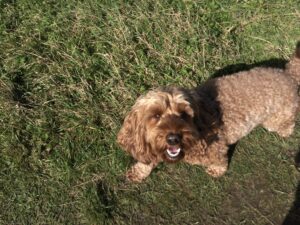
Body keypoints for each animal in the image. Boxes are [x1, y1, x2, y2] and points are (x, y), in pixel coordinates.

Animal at [116, 42, 300, 183]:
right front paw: (139, 171)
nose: (173, 138)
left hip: (276, 119)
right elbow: (146, 159)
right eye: (156, 115)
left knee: (288, 124)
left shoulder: (216, 147)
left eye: (184, 114)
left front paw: (217, 170)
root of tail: (288, 74)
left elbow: (219, 160)